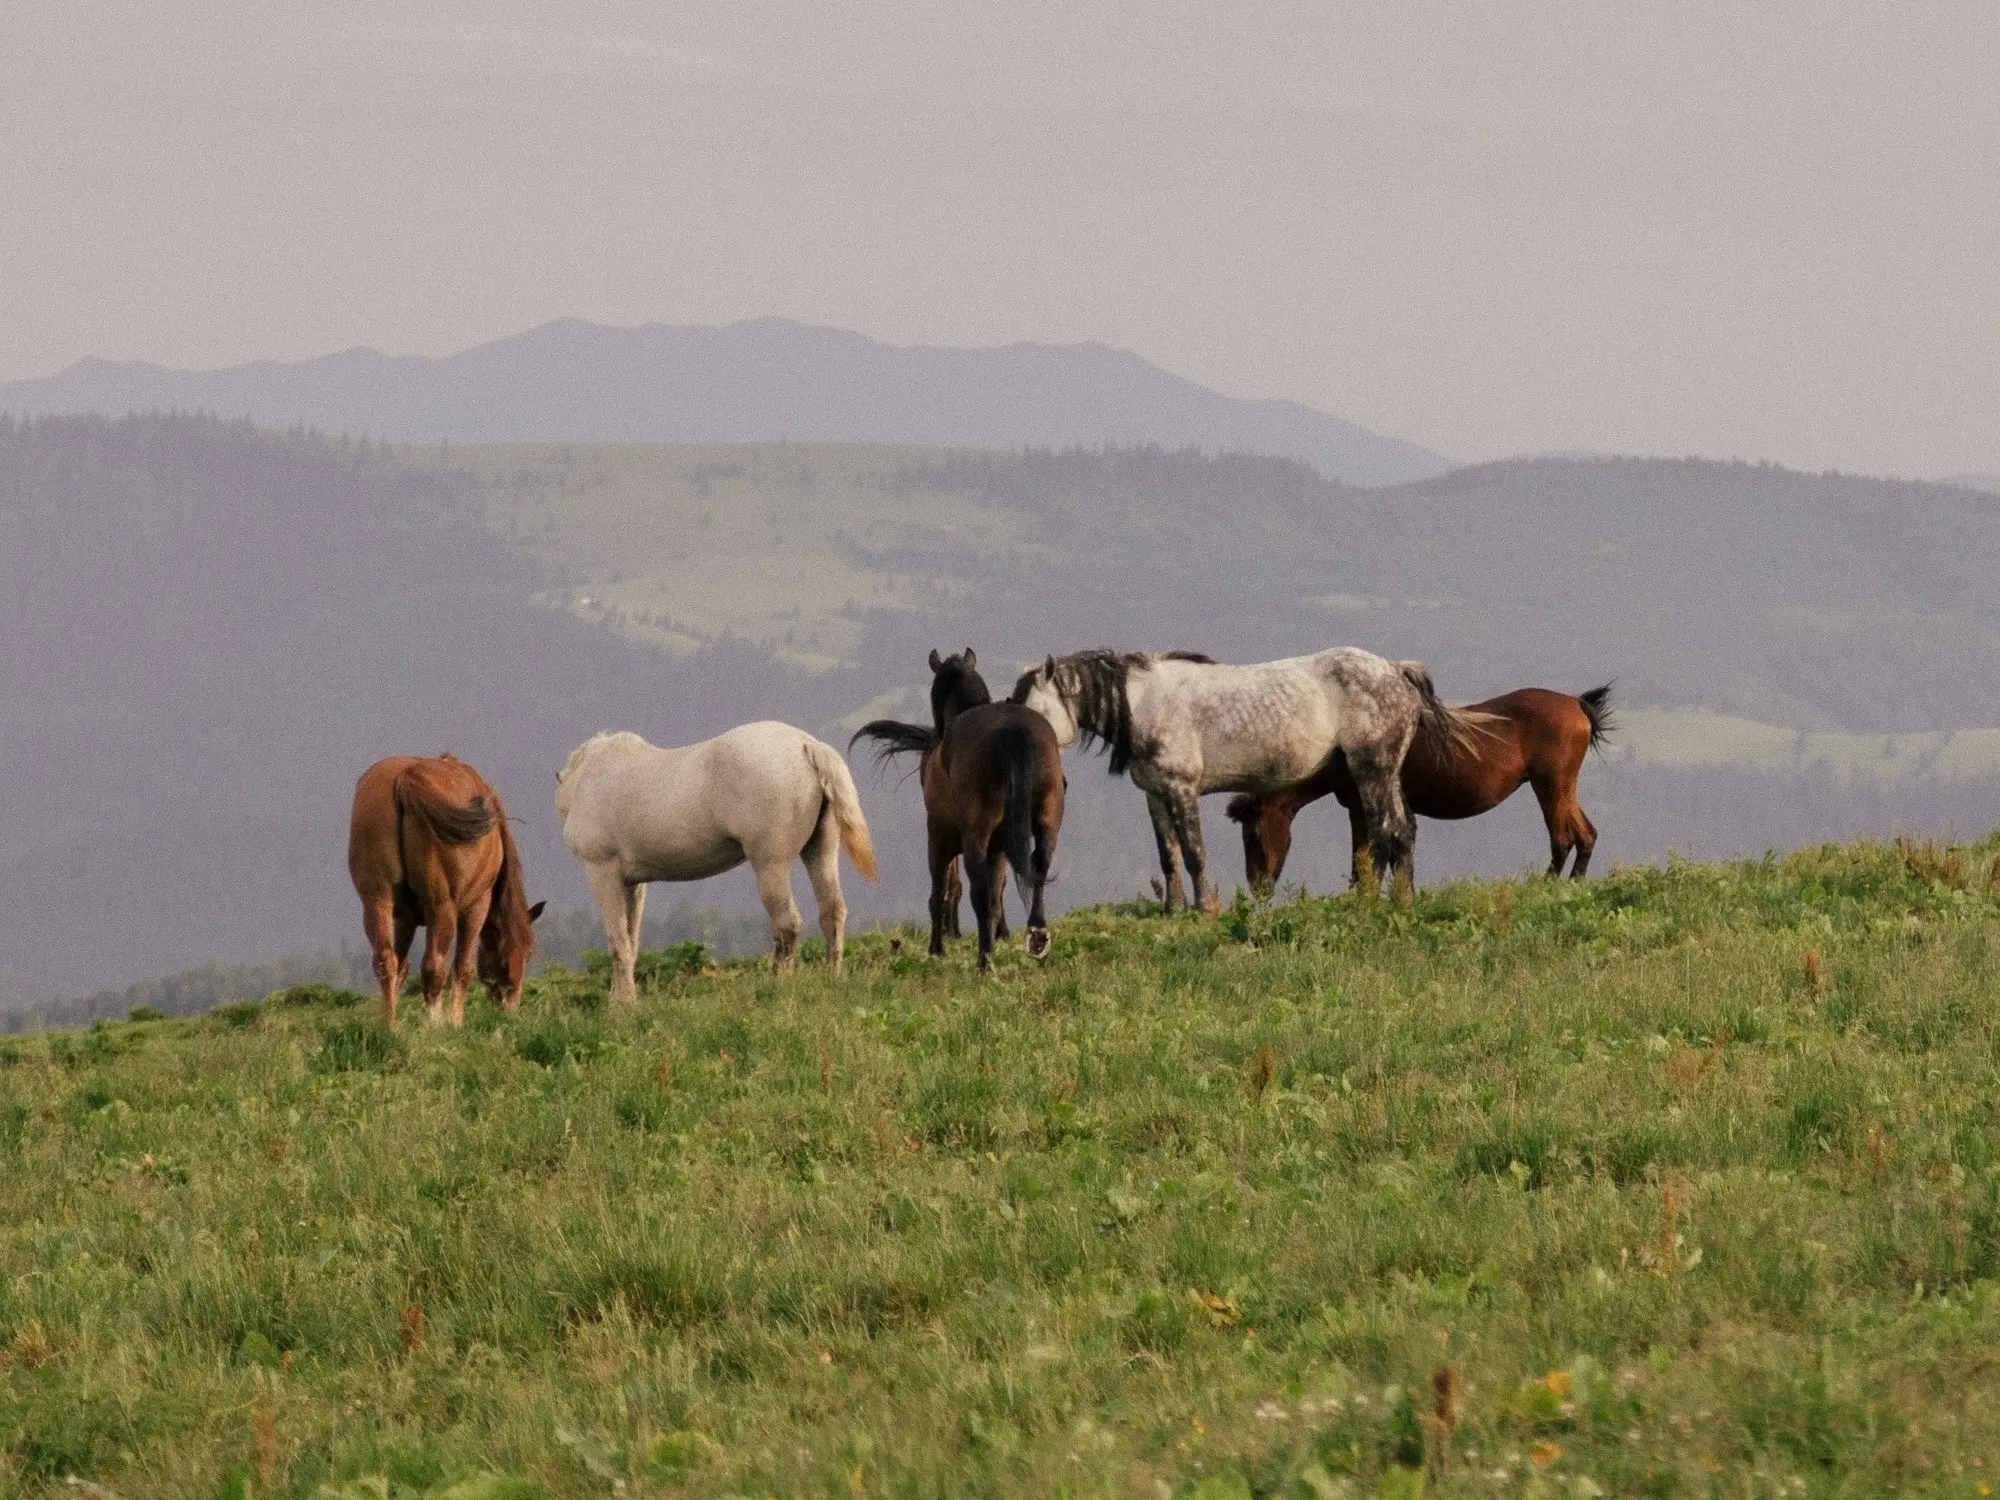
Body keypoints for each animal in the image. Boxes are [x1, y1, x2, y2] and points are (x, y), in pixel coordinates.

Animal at [346, 756, 544, 1032]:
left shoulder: (404, 919)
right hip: (442, 908)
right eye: (527, 953)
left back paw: (389, 1025)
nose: (510, 1008)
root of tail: (407, 777)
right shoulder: (476, 908)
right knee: (434, 966)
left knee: (385, 960)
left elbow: (401, 965)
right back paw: (435, 1023)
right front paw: (455, 1021)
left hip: (377, 902)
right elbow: (463, 968)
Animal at [560, 724, 880, 1004]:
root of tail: (807, 745)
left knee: (787, 922)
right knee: (832, 912)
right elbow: (631, 938)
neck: (590, 775)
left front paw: (623, 1002)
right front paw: (623, 995)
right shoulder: (633, 885)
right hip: (821, 852)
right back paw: (832, 976)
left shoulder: (603, 873)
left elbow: (618, 941)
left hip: (770, 866)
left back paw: (780, 983)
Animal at [852, 648, 1072, 976]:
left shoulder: (939, 839)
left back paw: (984, 961)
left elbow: (940, 893)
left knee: (978, 893)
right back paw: (1036, 936)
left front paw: (936, 948)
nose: (935, 738)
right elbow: (996, 893)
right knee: (1038, 867)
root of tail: (1013, 731)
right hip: (1047, 819)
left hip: (974, 836)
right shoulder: (998, 849)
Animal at [1016, 648, 1472, 916]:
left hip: (1371, 771)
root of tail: (1397, 671)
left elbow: (1194, 853)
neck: (1145, 702)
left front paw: (1204, 910)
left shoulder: (1183, 790)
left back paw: (1370, 904)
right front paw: (1173, 911)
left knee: (1382, 832)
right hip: (1387, 774)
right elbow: (1169, 857)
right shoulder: (1156, 795)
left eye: (1037, 710)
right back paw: (1403, 902)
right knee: (1403, 831)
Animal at [1224, 684, 1616, 888]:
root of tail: (1577, 703)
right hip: (1562, 787)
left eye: (1250, 834)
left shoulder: (1365, 808)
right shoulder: (1359, 810)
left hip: (1550, 786)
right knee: (1586, 834)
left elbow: (1369, 862)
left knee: (1562, 838)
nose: (1257, 887)